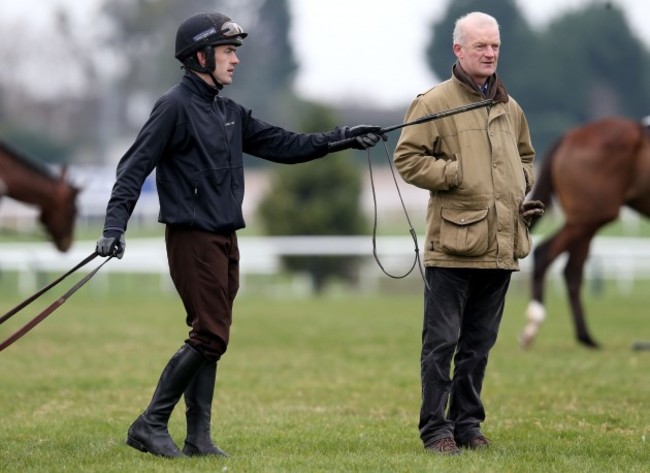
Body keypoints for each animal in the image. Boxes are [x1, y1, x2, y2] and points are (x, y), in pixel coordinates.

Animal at [520, 117, 650, 346]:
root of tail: (570, 136)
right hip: (590, 217)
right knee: (546, 254)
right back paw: (533, 325)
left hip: (587, 221)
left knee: (572, 270)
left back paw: (586, 337)